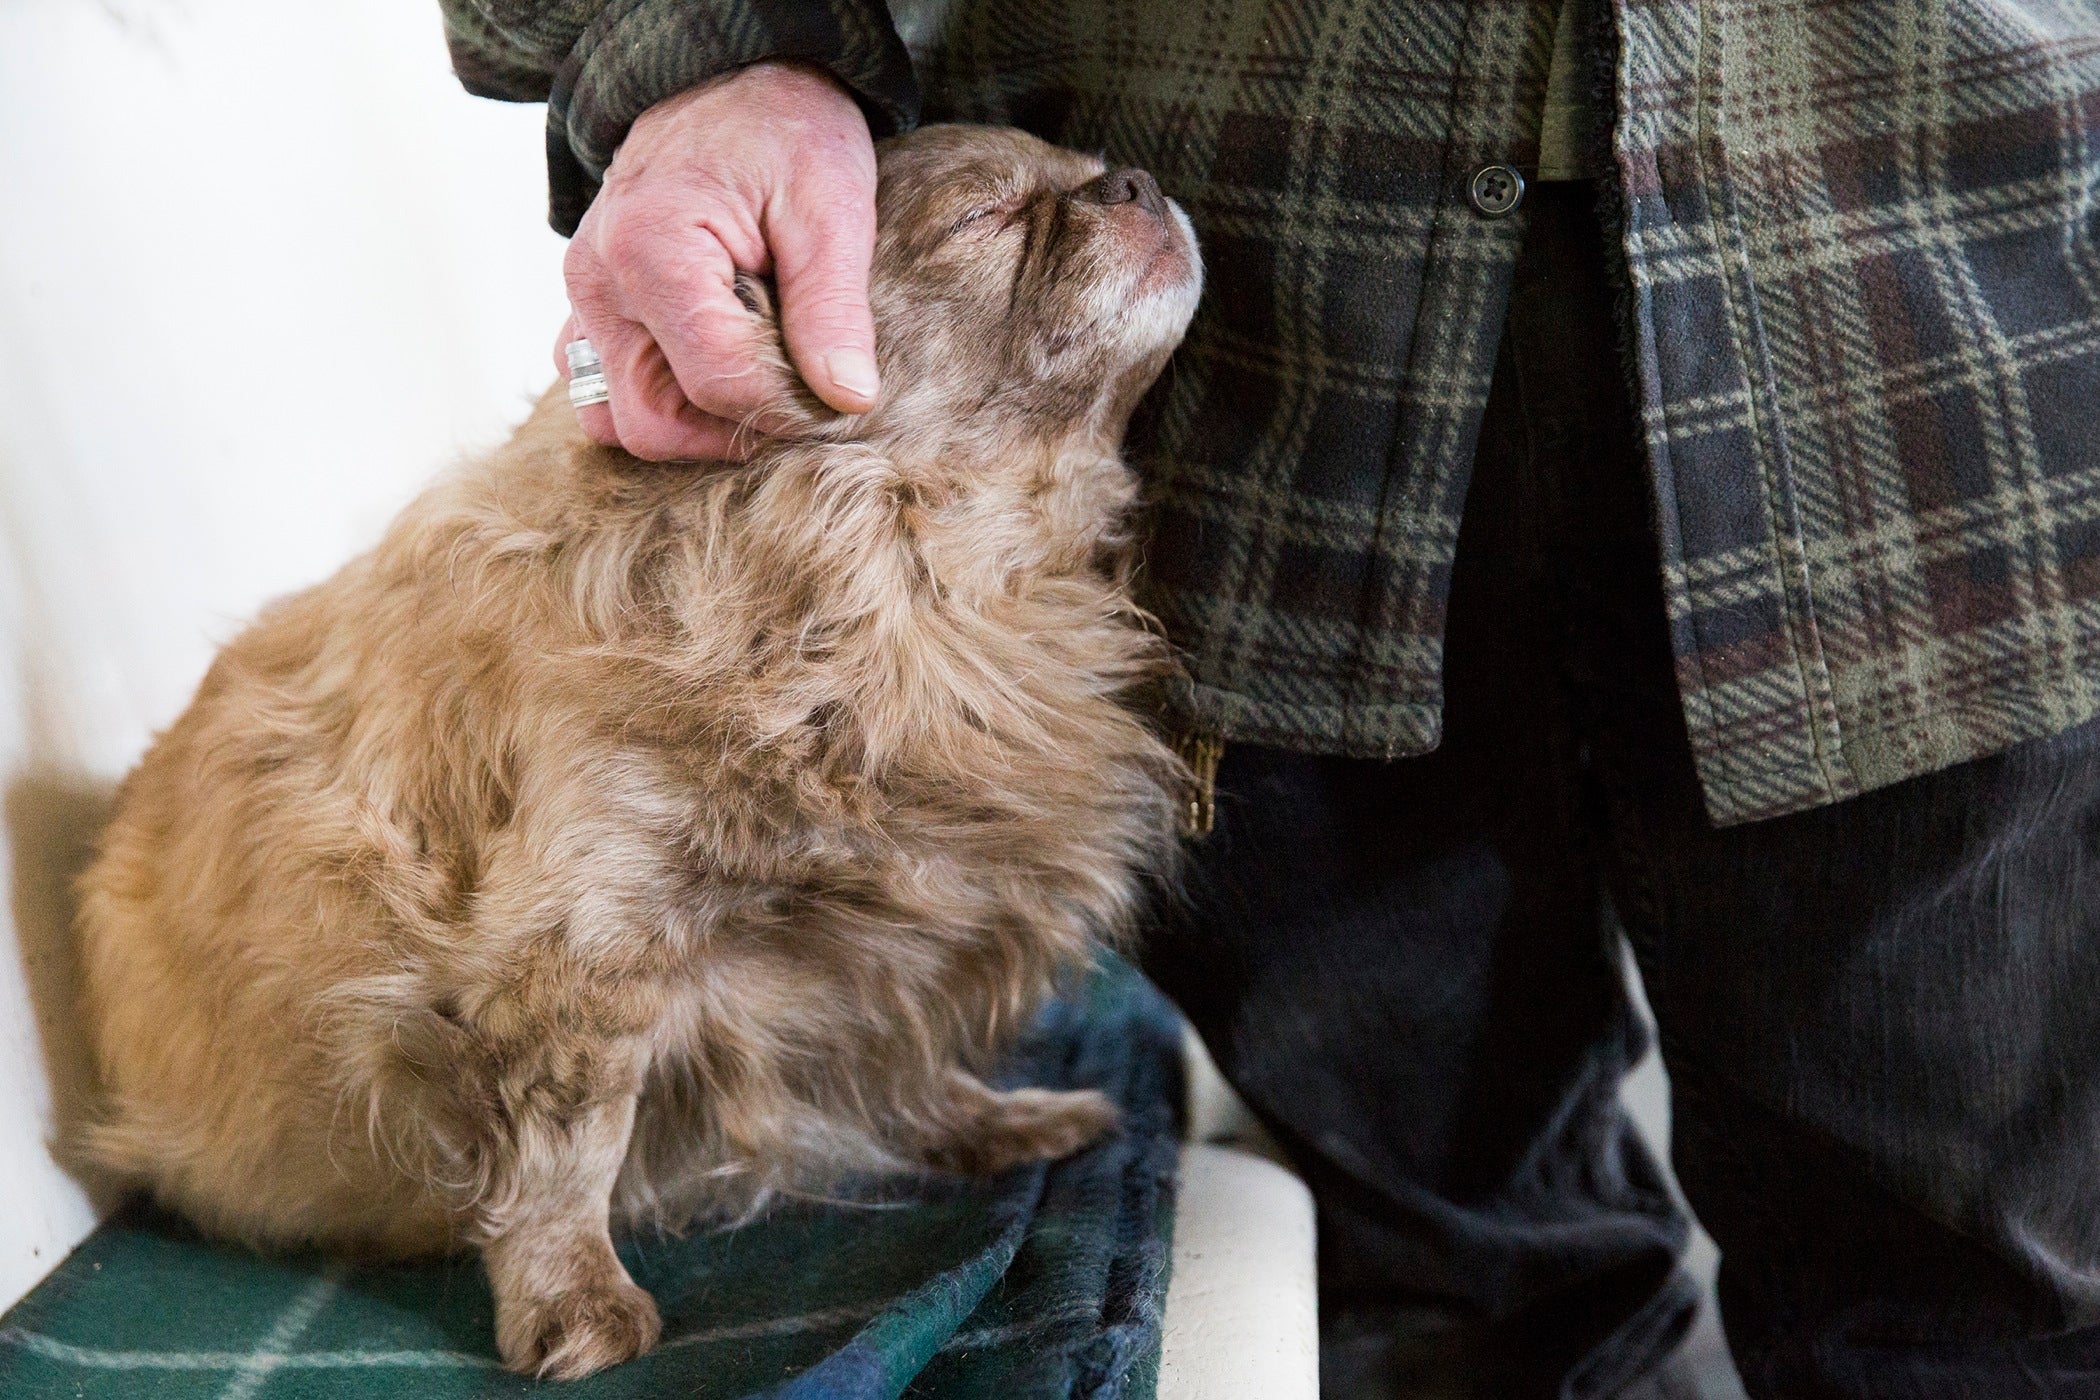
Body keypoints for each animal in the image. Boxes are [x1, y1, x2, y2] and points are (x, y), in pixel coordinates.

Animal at [77, 128, 1201, 1376]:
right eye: (988, 218)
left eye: (1086, 165)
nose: (1135, 183)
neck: (918, 580)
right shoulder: (584, 959)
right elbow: (569, 1154)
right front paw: (574, 1303)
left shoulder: (886, 954)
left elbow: (904, 1064)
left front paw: (991, 1123)